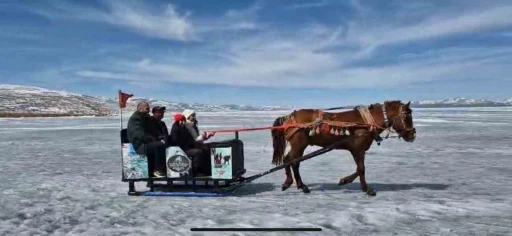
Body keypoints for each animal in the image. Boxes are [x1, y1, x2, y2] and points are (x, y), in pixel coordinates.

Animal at [272, 100, 416, 196]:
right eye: (406, 116)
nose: (412, 135)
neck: (367, 122)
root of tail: (288, 117)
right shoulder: (358, 149)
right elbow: (361, 169)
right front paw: (367, 189)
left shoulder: (357, 149)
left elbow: (359, 169)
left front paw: (344, 180)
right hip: (299, 145)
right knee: (291, 161)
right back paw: (293, 184)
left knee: (292, 161)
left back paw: (298, 185)